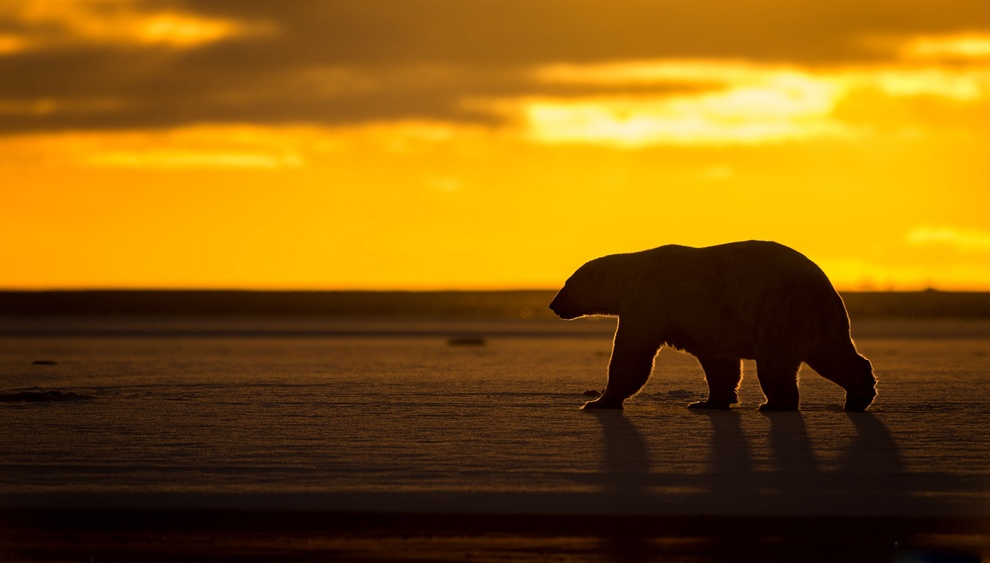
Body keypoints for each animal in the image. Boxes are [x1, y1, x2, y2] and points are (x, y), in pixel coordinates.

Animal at [549, 241, 876, 412]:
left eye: (566, 284)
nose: (553, 305)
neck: (630, 275)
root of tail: (826, 288)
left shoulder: (647, 302)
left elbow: (631, 354)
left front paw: (598, 401)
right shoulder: (712, 324)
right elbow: (719, 363)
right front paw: (708, 401)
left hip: (778, 313)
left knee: (776, 365)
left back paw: (775, 404)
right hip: (818, 321)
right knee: (833, 354)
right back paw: (859, 395)